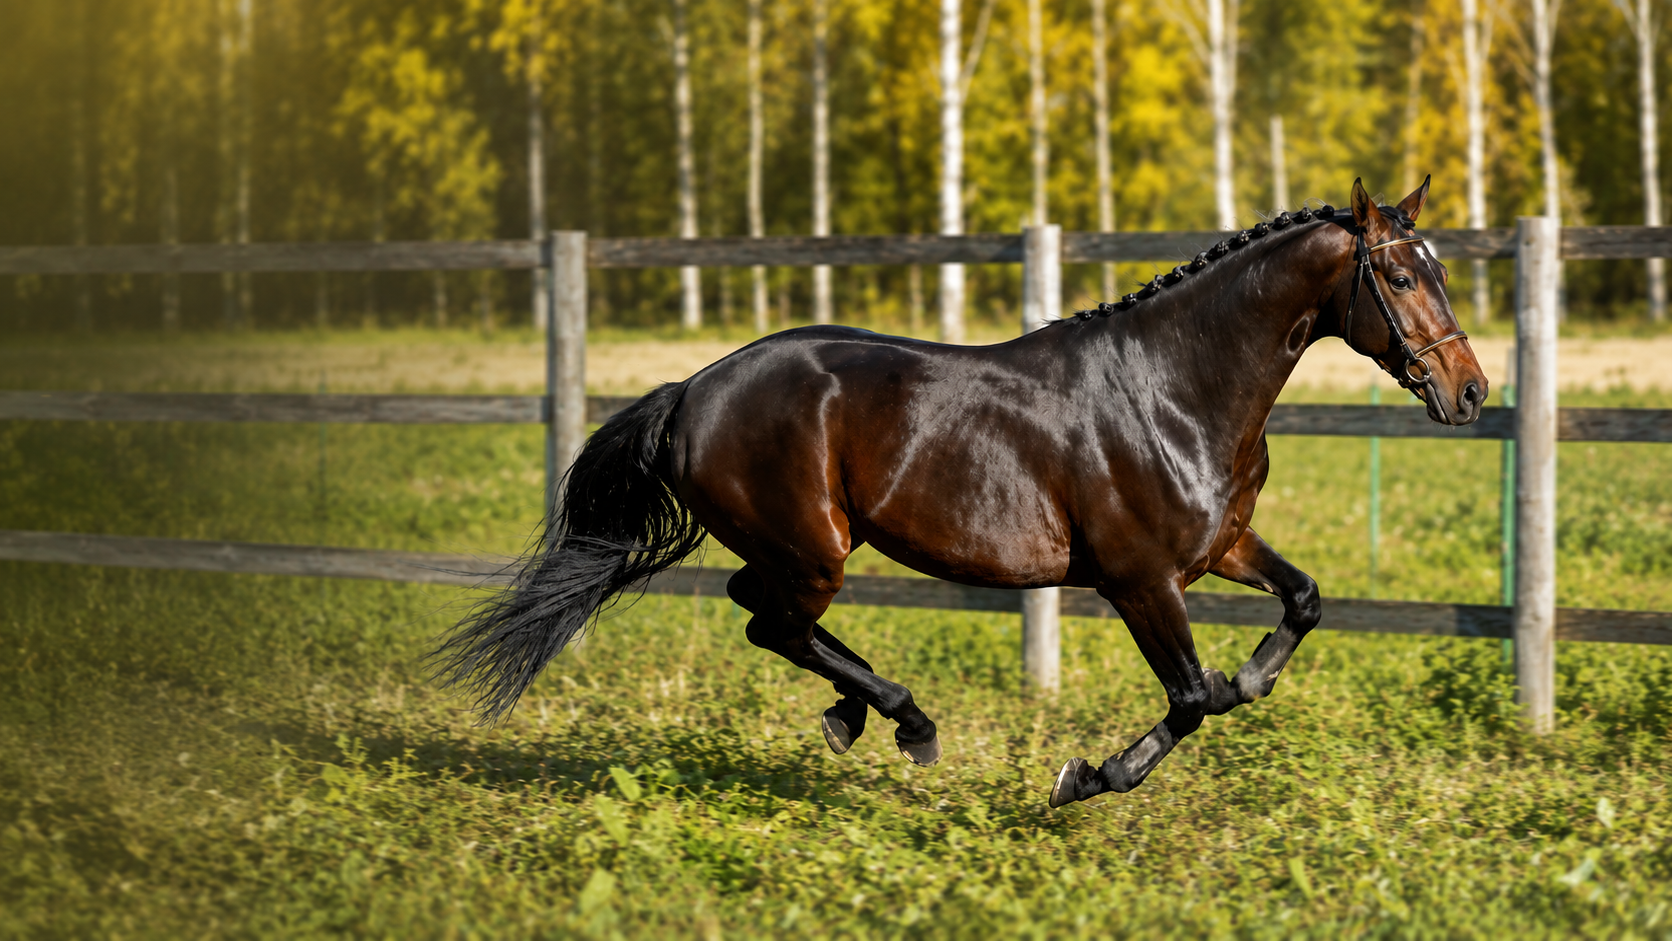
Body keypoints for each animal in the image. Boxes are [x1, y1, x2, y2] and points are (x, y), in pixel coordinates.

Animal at [433, 177, 1487, 807]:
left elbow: (1303, 603)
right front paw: (1083, 775)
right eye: (1400, 275)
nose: (1470, 390)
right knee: (771, 622)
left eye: (1437, 267)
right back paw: (906, 721)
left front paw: (1253, 678)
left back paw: (863, 715)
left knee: (760, 609)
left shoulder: (1220, 547)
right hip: (814, 550)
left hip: (800, 547)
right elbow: (1190, 698)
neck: (1175, 388)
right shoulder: (1140, 578)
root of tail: (692, 389)